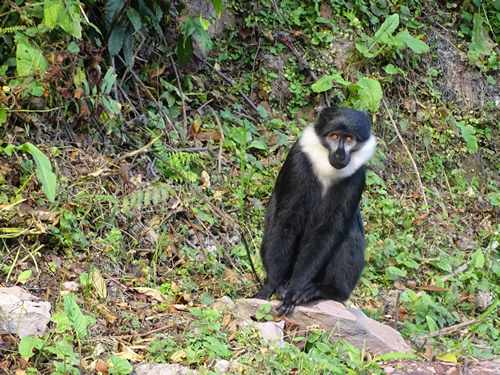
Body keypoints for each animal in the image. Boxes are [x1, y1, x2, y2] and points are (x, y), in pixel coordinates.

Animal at [256, 106, 376, 318]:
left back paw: (327, 291)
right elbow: (286, 222)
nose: (340, 154)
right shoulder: (298, 161)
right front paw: (272, 285)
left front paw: (295, 290)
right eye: (334, 136)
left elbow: (328, 231)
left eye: (349, 139)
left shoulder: (358, 178)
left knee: (349, 232)